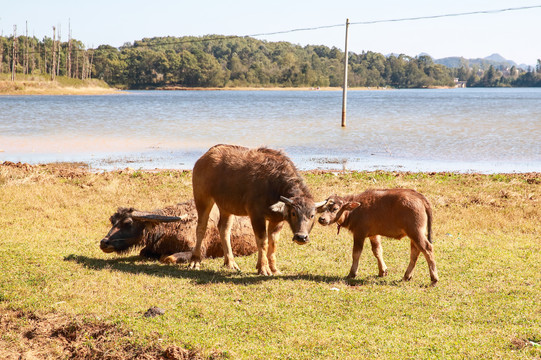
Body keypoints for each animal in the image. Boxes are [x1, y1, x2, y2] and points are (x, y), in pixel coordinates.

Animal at [99, 198, 258, 262]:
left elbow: (168, 258)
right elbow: (143, 253)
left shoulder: (199, 250)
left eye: (128, 223)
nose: (104, 242)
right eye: (112, 221)